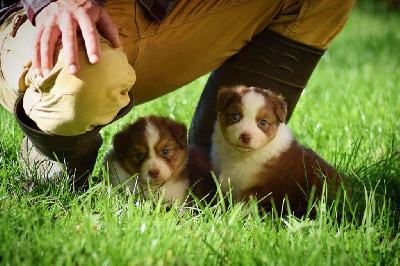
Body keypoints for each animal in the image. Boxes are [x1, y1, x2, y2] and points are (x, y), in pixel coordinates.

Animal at [212, 85, 346, 216]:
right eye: (235, 116)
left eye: (263, 122)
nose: (245, 136)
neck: (240, 155)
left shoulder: (255, 191)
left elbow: (242, 210)